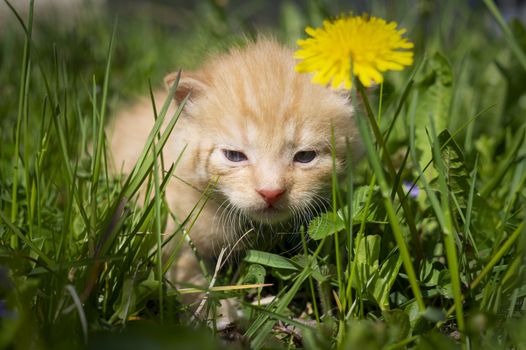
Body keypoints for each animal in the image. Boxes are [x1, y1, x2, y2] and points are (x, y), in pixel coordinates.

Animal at [109, 37, 360, 312]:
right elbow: (185, 275)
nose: (271, 192)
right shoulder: (167, 230)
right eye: (234, 155)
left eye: (305, 156)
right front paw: (213, 311)